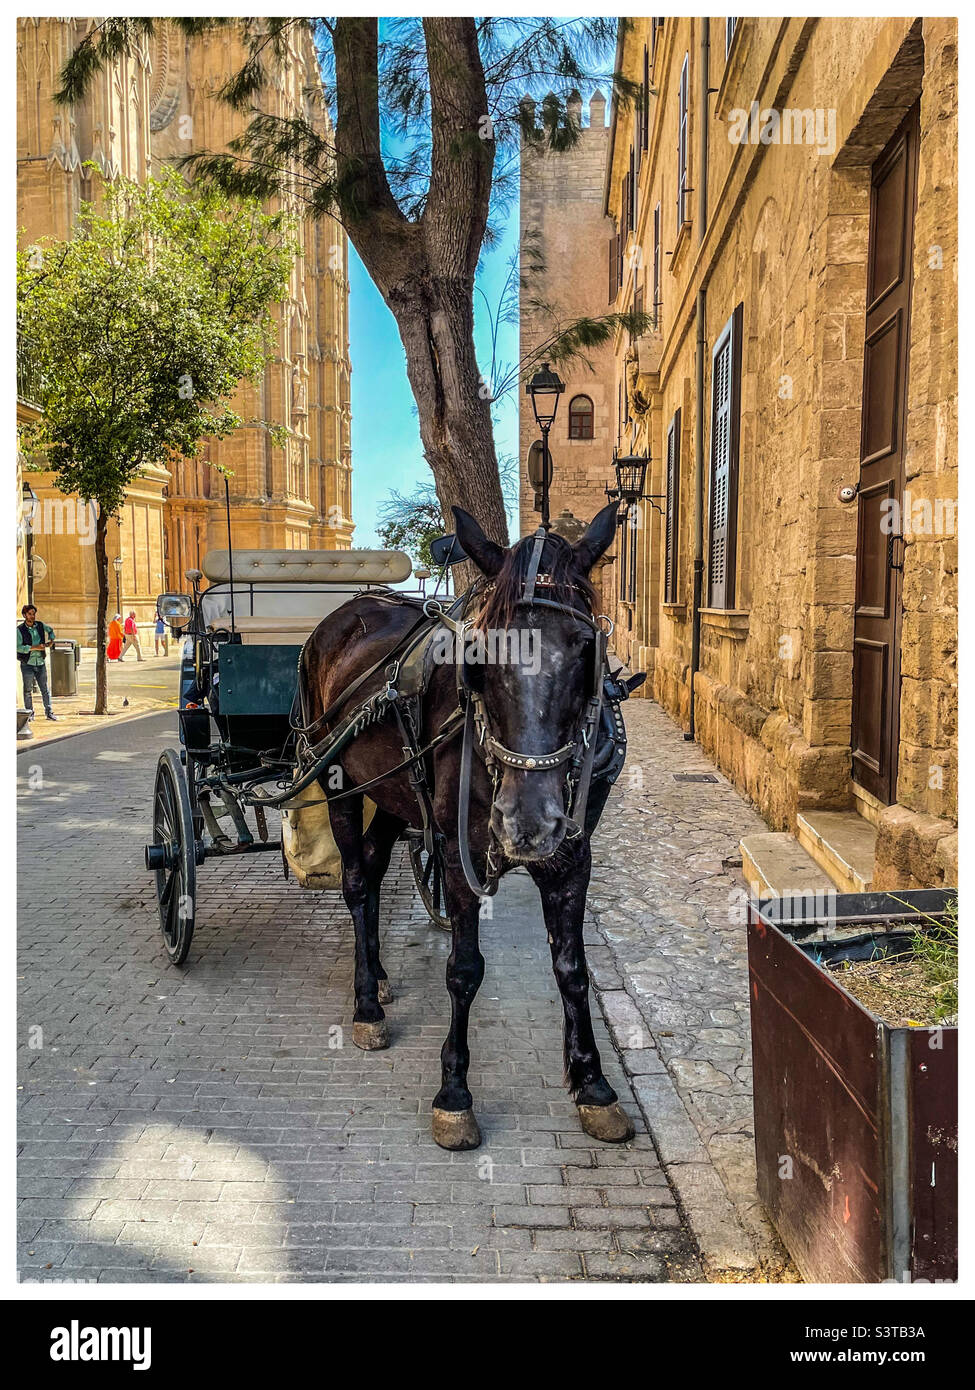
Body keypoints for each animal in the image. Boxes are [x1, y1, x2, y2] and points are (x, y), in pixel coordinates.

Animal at [302, 503, 635, 1151]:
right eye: (478, 658)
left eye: (587, 647)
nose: (528, 821)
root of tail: (349, 610)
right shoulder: (459, 856)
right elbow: (463, 970)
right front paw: (454, 1093)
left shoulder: (574, 856)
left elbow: (572, 970)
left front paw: (592, 1083)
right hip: (337, 781)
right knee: (355, 883)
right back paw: (367, 1005)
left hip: (394, 794)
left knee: (374, 870)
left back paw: (378, 975)